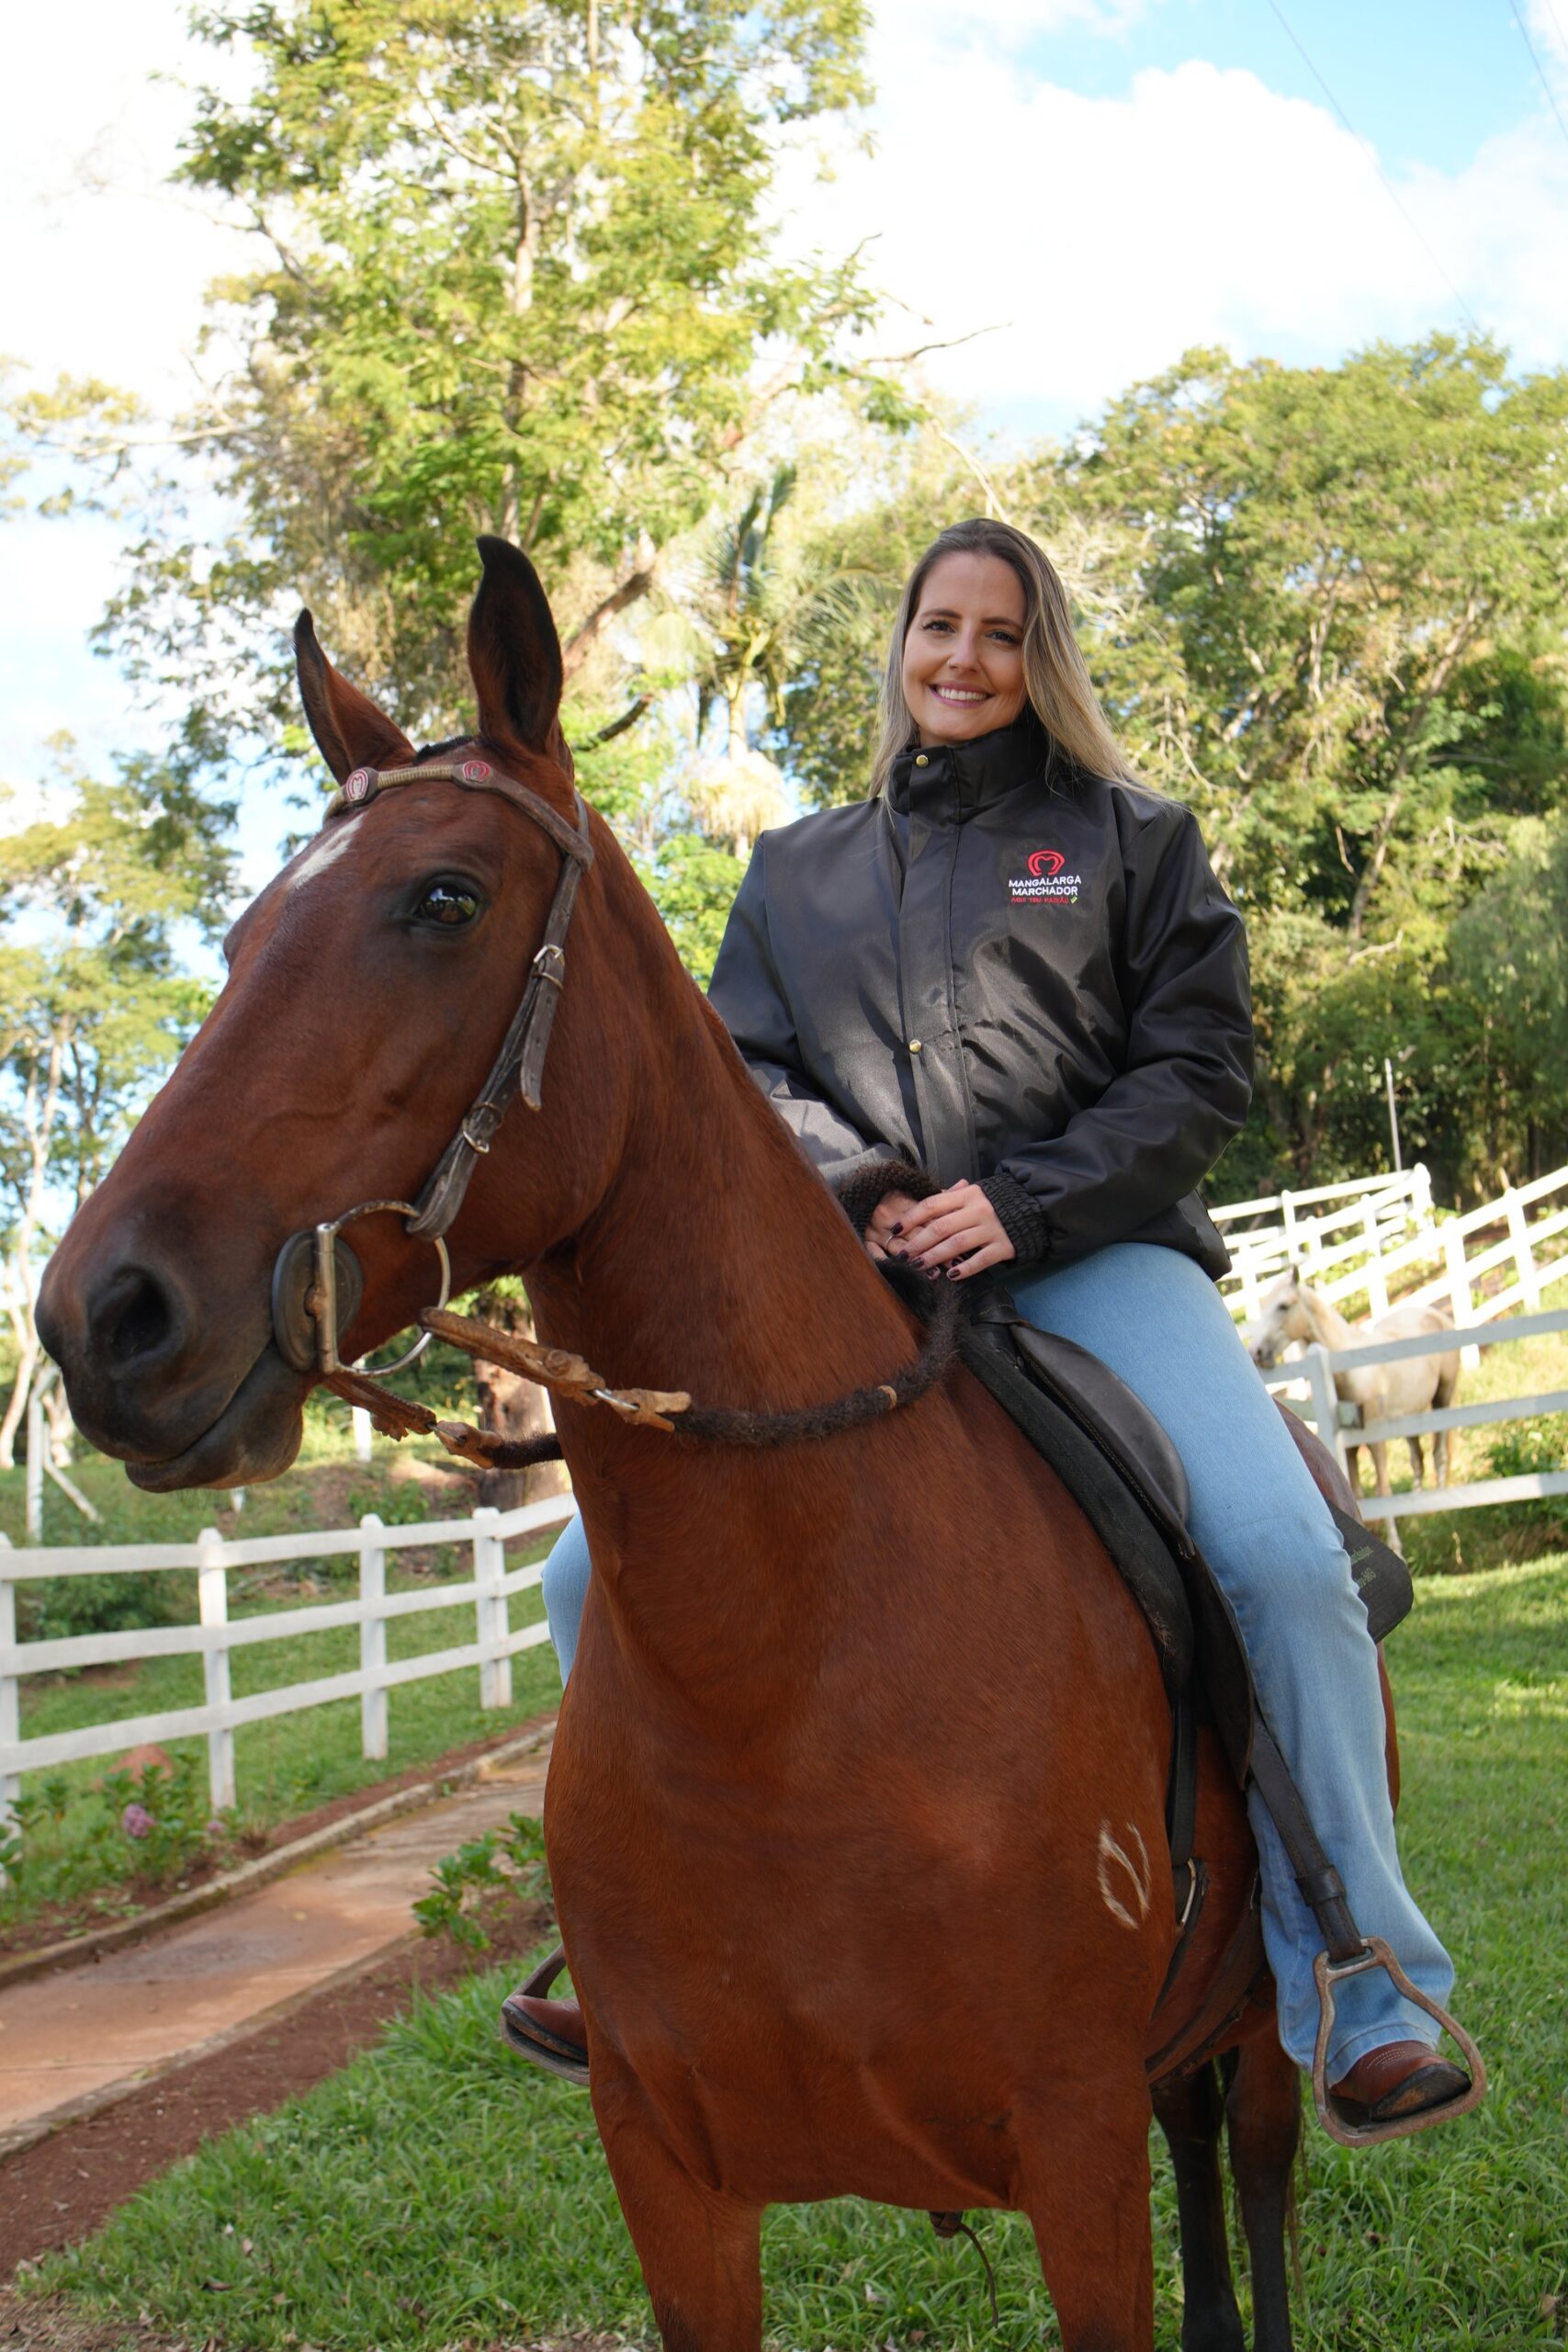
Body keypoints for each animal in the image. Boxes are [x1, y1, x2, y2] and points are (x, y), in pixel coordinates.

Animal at [1244, 1268, 1460, 1500]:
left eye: (1283, 1305)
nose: (1256, 1351)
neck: (1348, 1373)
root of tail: (1437, 1315)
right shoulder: (1349, 1448)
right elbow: (1357, 1490)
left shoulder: (1375, 1437)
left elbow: (1383, 1489)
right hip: (1411, 1415)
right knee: (1418, 1460)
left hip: (1442, 1398)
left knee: (1439, 1454)